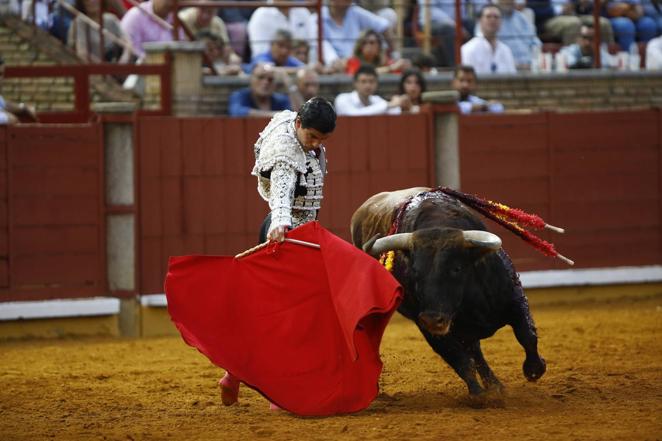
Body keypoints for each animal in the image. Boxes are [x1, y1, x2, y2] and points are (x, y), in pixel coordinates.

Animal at [356, 186, 548, 396]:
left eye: (456, 268)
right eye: (414, 270)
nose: (433, 319)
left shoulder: (515, 297)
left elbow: (526, 334)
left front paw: (534, 370)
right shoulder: (427, 327)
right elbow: (460, 361)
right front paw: (479, 395)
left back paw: (496, 386)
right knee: (473, 353)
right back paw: (494, 387)